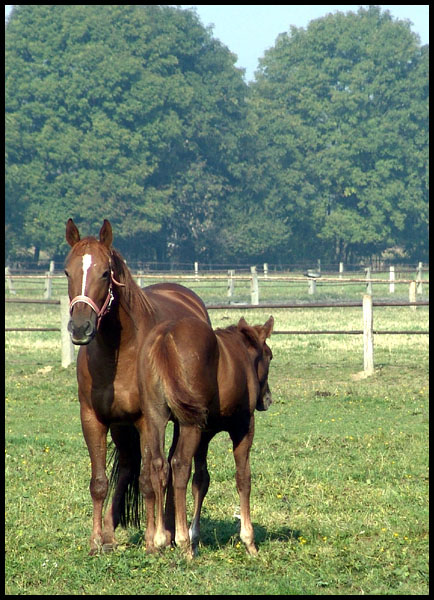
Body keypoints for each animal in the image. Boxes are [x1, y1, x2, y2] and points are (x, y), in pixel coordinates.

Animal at [64, 218, 210, 556]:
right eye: (67, 271)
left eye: (105, 273)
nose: (80, 328)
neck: (121, 351)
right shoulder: (93, 418)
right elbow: (99, 482)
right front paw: (96, 541)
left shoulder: (146, 419)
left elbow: (148, 479)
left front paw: (151, 540)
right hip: (121, 425)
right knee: (131, 466)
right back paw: (110, 530)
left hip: (176, 420)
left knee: (169, 468)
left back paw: (168, 530)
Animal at [139, 314, 272, 556]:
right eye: (270, 356)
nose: (267, 399)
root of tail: (165, 338)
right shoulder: (243, 428)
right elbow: (243, 478)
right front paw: (249, 541)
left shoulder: (206, 433)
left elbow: (201, 481)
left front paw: (195, 537)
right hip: (190, 424)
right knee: (179, 464)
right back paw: (182, 542)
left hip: (155, 416)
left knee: (159, 465)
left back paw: (161, 538)